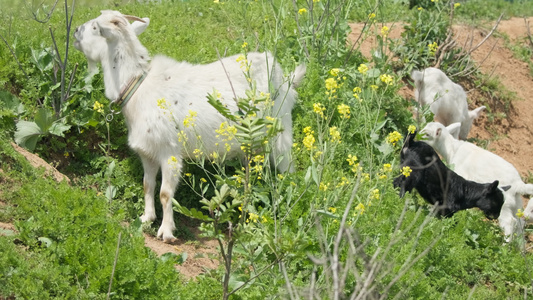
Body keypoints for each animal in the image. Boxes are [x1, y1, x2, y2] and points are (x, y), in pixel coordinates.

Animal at [73, 10, 306, 243]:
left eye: (95, 27)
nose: (75, 31)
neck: (138, 87)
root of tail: (285, 76)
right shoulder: (147, 152)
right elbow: (148, 184)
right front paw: (146, 217)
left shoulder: (170, 153)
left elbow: (165, 193)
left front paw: (166, 232)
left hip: (281, 129)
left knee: (287, 166)